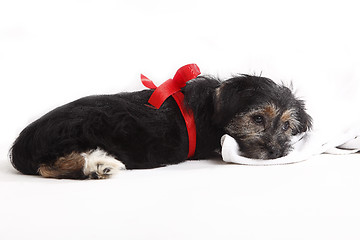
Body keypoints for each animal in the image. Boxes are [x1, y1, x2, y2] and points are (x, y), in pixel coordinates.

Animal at [9, 64, 312, 179]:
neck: (212, 106)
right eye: (257, 118)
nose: (275, 151)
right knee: (50, 167)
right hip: (80, 127)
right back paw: (99, 165)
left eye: (287, 126)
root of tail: (23, 144)